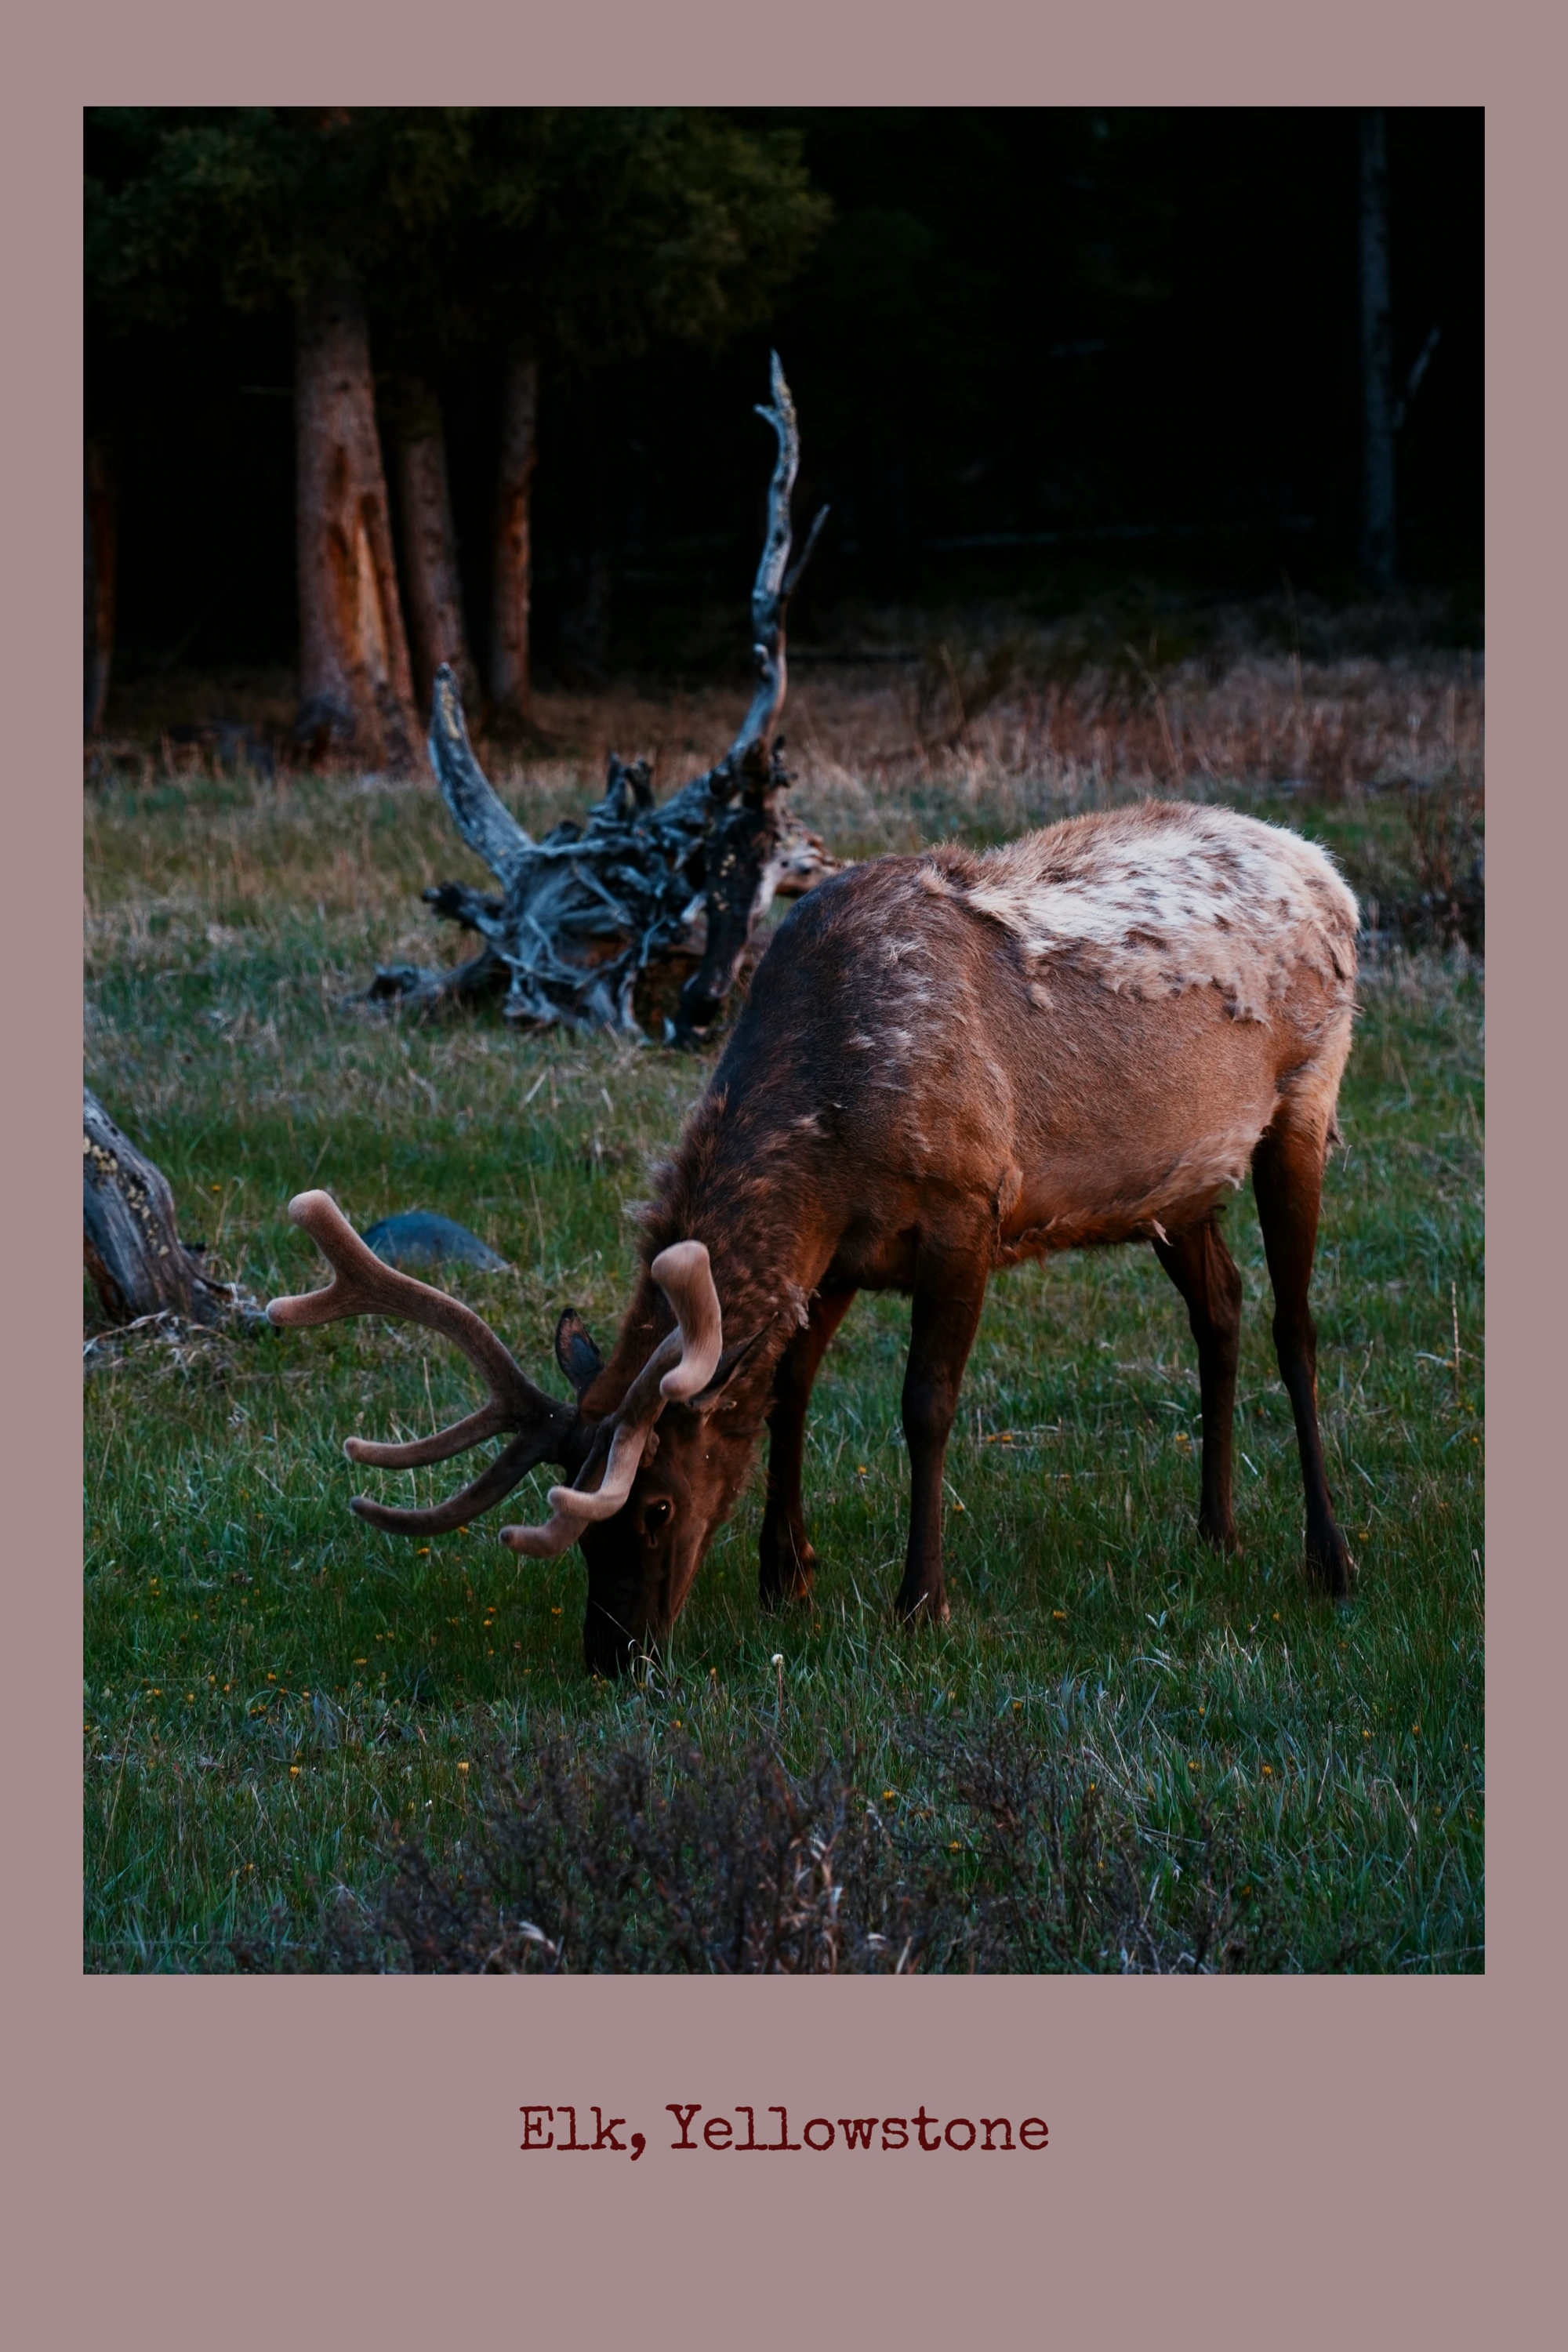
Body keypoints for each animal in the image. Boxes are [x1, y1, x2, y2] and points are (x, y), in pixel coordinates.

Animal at [267, 797, 1361, 1676]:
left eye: (654, 1507)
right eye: (579, 1530)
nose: (614, 1658)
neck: (831, 1128)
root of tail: (1327, 869)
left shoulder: (968, 1208)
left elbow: (925, 1406)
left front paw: (919, 1602)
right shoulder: (836, 1254)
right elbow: (786, 1391)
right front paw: (783, 1574)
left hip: (1305, 1100)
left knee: (1294, 1326)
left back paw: (1328, 1557)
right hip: (1178, 1186)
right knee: (1219, 1310)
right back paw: (1214, 1531)